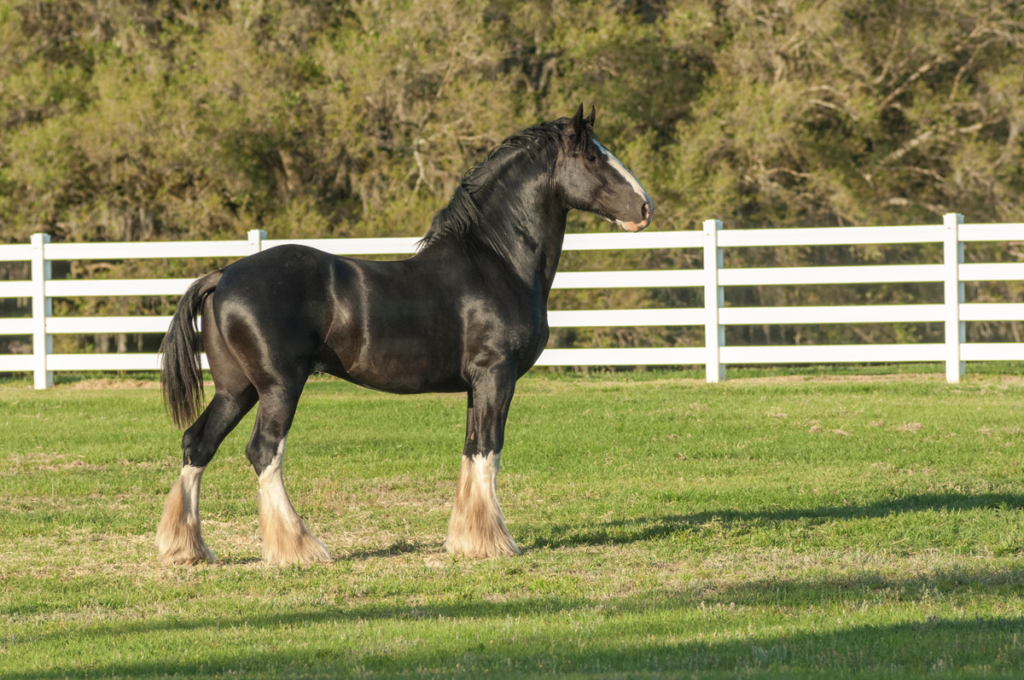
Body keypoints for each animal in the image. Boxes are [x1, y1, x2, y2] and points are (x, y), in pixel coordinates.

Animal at [156, 105, 654, 565]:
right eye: (593, 156)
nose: (645, 208)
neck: (496, 262)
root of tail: (223, 274)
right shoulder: (497, 375)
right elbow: (489, 450)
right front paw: (493, 543)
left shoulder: (476, 384)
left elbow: (471, 449)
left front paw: (466, 540)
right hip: (279, 387)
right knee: (263, 452)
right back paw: (300, 549)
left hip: (236, 390)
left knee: (197, 444)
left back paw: (188, 549)